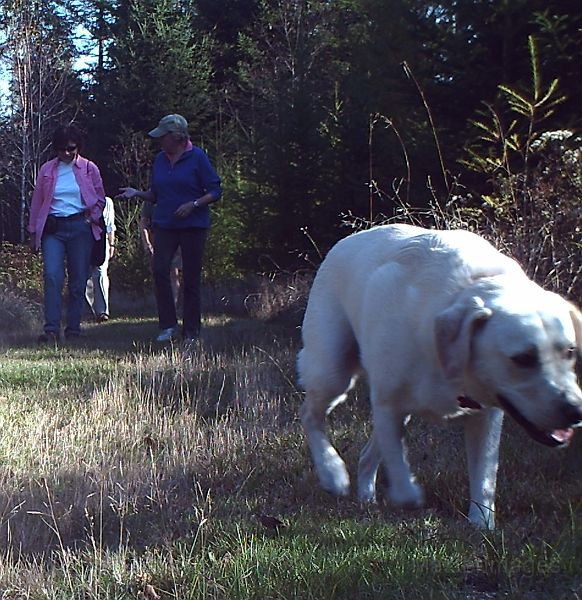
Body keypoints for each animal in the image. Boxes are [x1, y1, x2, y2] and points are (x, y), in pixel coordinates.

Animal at [298, 223, 580, 528]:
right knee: (310, 416)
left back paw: (366, 498)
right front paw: (407, 494)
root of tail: (345, 241)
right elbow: (402, 478)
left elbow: (484, 478)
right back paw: (332, 473)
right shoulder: (387, 404)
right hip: (332, 370)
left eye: (570, 351)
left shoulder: (487, 417)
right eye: (523, 358)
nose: (575, 411)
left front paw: (482, 523)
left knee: (366, 453)